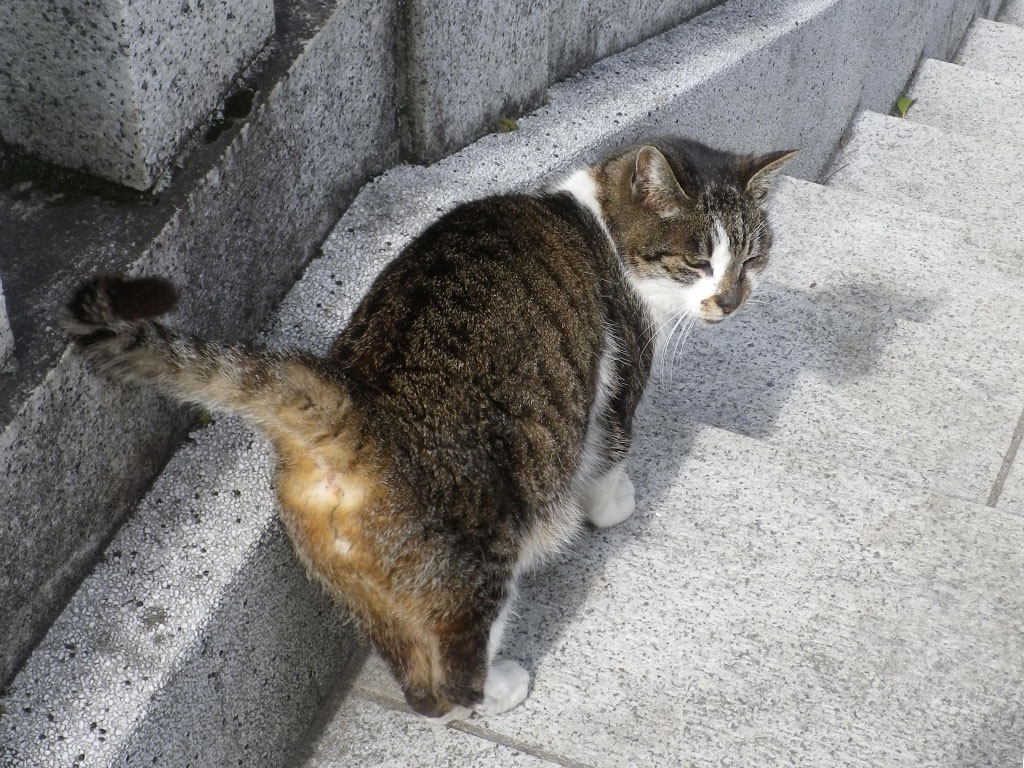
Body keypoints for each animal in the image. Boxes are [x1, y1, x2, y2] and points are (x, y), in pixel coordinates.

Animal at [64, 138, 794, 720]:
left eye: (752, 258)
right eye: (697, 261)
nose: (731, 301)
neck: (600, 227)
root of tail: (354, 406)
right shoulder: (619, 382)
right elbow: (610, 453)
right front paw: (615, 505)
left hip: (365, 583)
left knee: (416, 685)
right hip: (479, 557)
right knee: (452, 677)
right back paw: (501, 687)